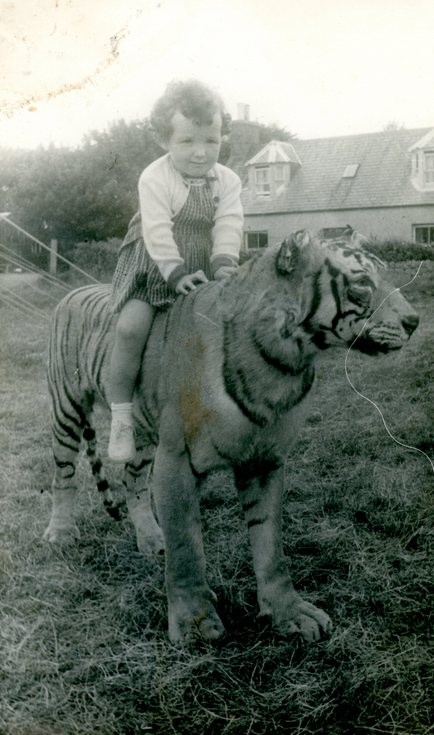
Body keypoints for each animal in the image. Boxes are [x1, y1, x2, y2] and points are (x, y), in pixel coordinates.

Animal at [43, 227, 418, 640]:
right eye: (363, 283)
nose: (414, 321)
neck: (283, 361)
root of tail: (71, 293)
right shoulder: (176, 459)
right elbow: (186, 545)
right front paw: (194, 622)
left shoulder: (265, 459)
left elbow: (270, 544)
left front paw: (289, 612)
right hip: (67, 410)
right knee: (63, 476)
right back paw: (61, 533)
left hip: (144, 435)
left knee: (133, 481)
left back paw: (151, 538)